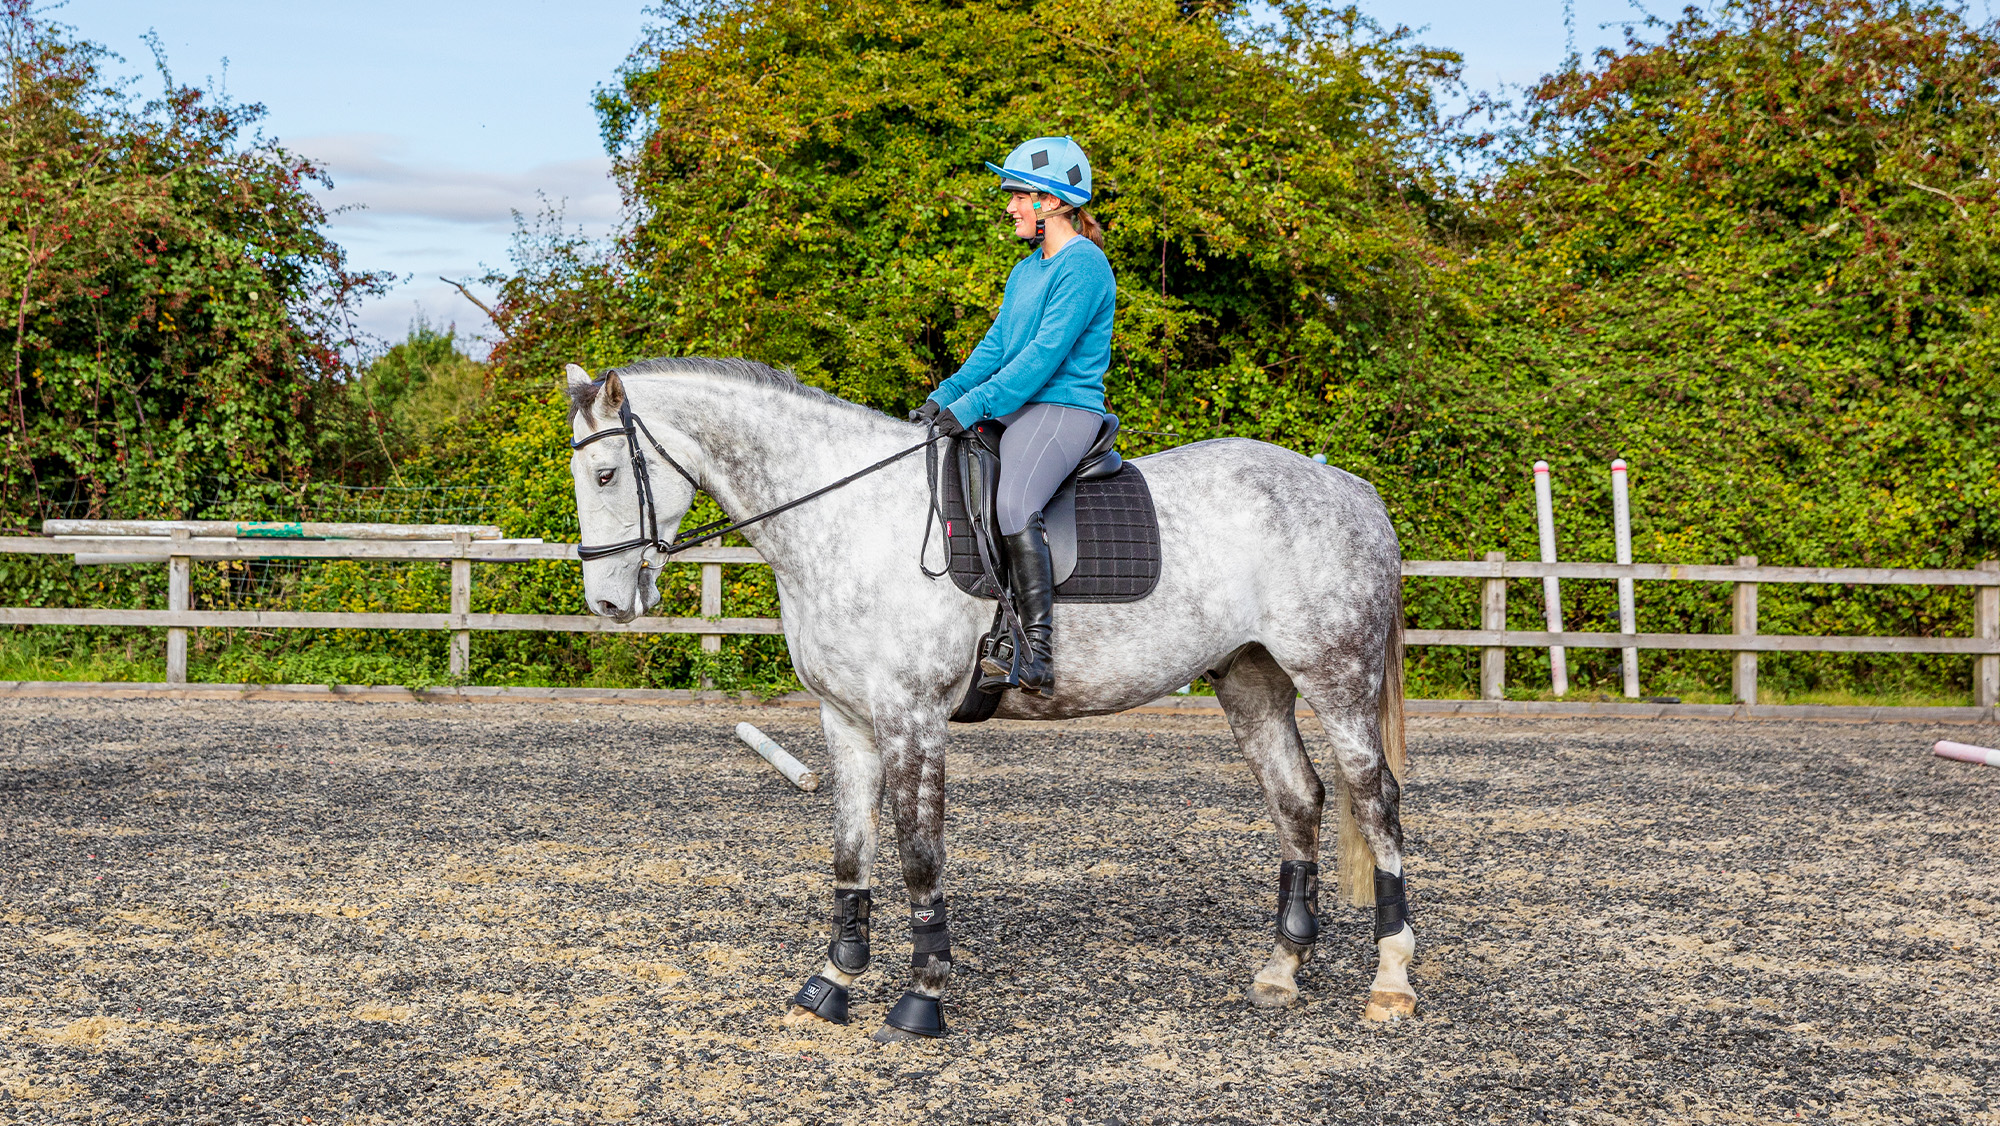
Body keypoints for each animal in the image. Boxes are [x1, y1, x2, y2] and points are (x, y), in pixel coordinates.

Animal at [563, 357, 1415, 1042]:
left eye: (605, 476)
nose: (606, 603)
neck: (843, 519)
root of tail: (1349, 487)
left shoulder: (913, 721)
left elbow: (919, 856)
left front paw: (922, 996)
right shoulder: (847, 722)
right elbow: (850, 851)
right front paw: (833, 983)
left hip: (1336, 678)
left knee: (1375, 802)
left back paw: (1391, 980)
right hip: (1251, 679)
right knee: (1297, 798)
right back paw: (1282, 969)